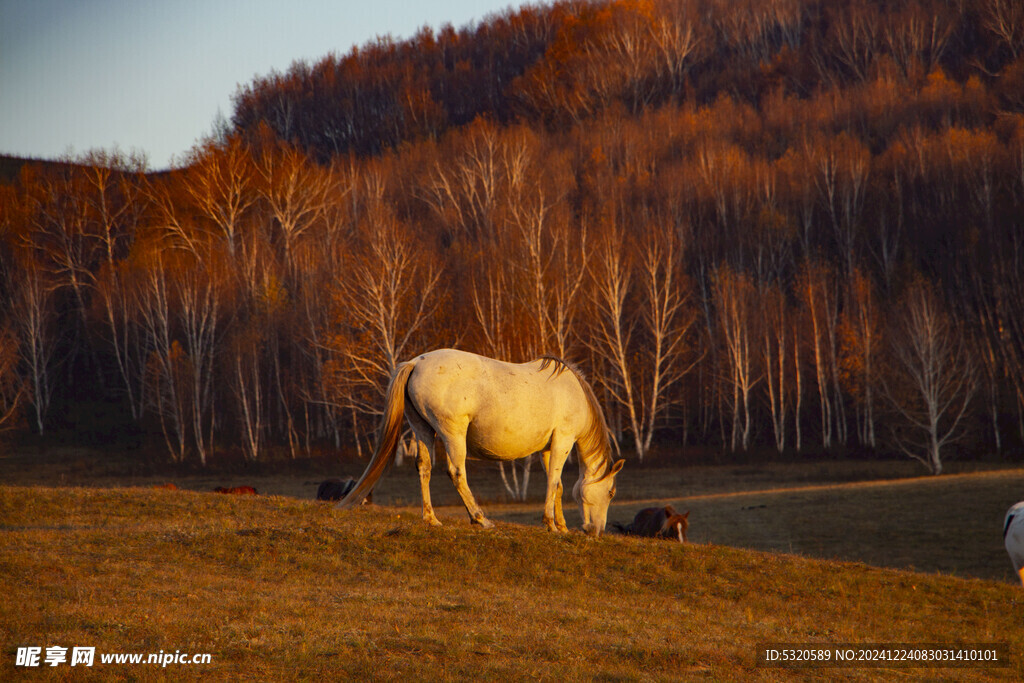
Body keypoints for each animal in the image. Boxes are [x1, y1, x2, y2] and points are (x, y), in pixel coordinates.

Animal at [335, 350, 622, 536]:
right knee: (457, 472)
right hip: (453, 434)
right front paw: (551, 524)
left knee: (424, 468)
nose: (596, 532)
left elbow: (559, 486)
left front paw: (561, 525)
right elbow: (553, 482)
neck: (573, 392)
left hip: (422, 430)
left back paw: (431, 519)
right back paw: (480, 519)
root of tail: (416, 363)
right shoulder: (563, 441)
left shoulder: (549, 448)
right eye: (610, 493)